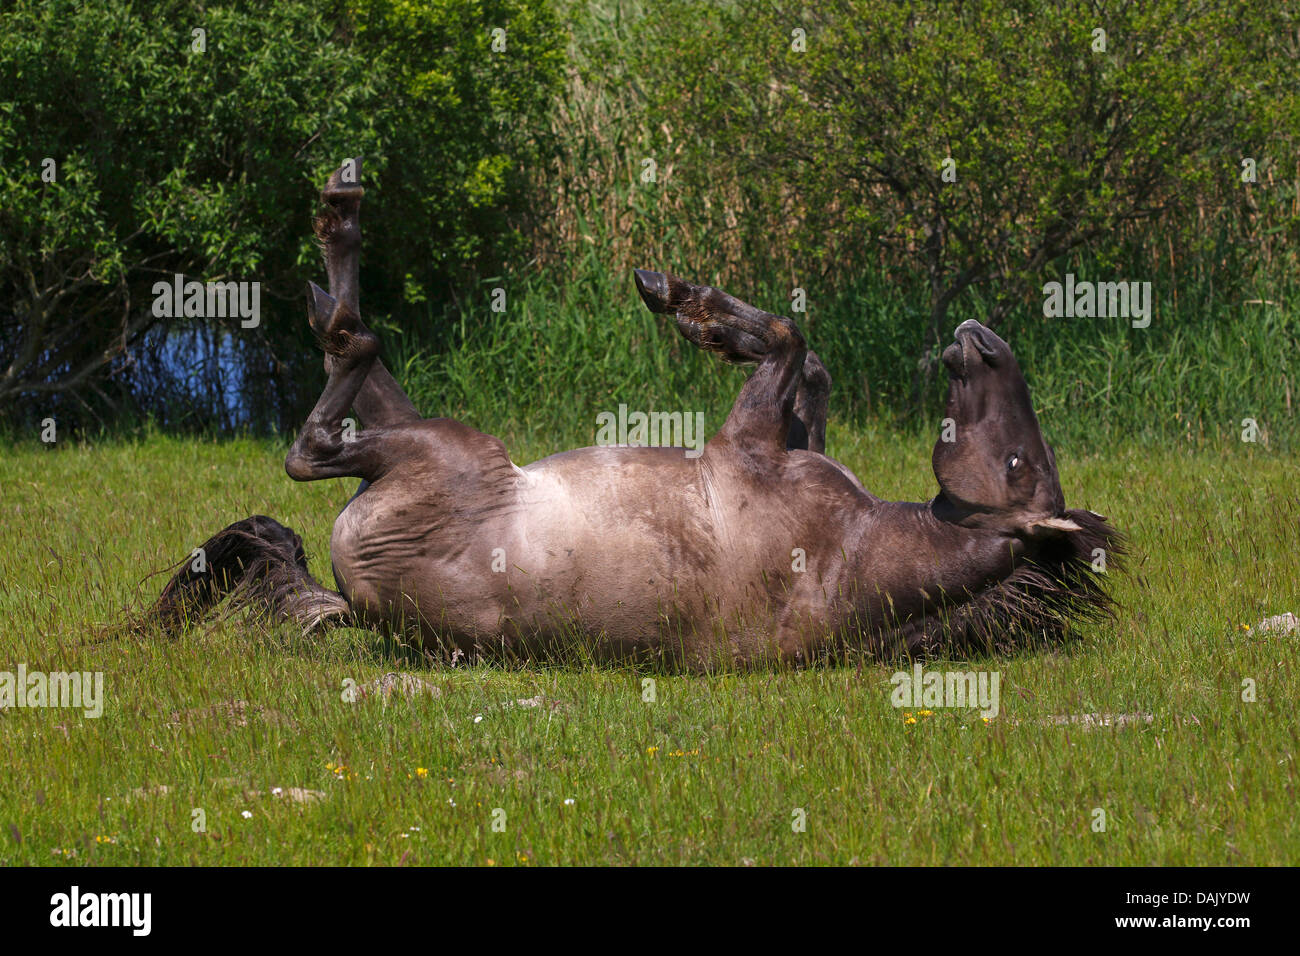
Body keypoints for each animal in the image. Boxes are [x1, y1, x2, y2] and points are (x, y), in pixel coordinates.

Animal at [149, 162, 1118, 665]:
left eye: (1021, 468)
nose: (982, 341)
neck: (857, 547)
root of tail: (359, 605)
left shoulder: (748, 442)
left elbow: (787, 337)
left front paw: (691, 306)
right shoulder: (786, 435)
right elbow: (811, 366)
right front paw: (687, 301)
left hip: (445, 449)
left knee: (328, 412)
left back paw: (338, 241)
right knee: (356, 374)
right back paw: (329, 262)